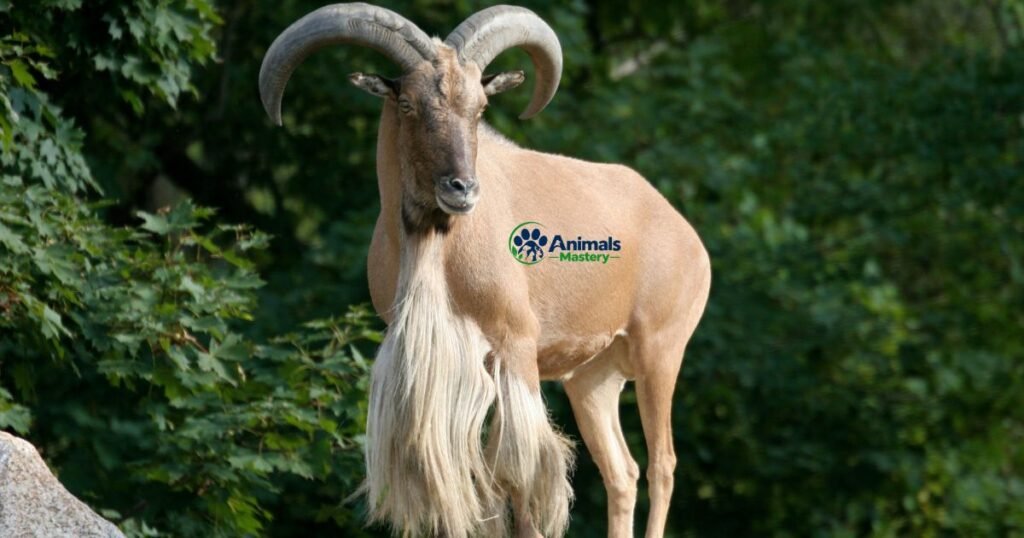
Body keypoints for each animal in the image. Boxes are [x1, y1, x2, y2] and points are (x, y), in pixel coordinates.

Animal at [259, 4, 711, 537]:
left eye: (479, 108)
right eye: (408, 105)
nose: (462, 189)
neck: (439, 253)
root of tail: (683, 230)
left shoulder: (515, 346)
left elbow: (519, 476)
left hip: (660, 352)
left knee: (663, 465)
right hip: (592, 380)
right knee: (622, 472)